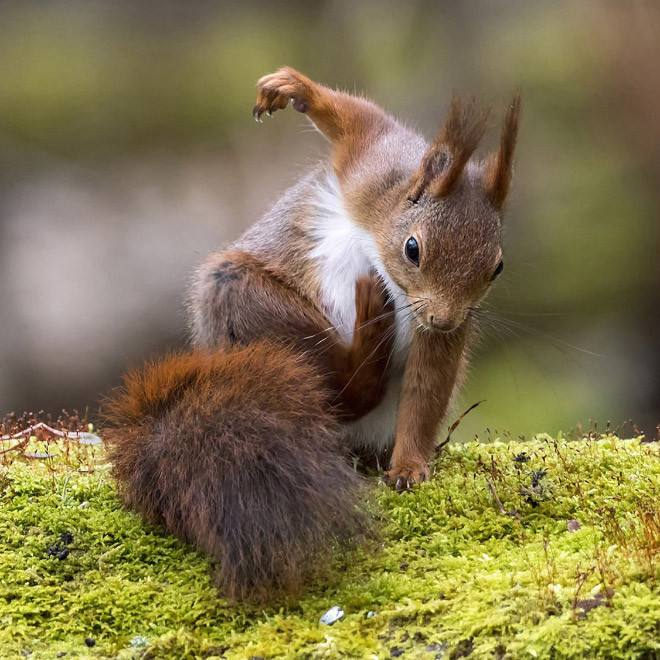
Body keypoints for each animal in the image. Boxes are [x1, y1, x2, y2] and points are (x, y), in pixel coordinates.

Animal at [105, 68, 524, 604]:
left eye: (497, 267)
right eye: (413, 249)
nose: (445, 319)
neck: (383, 235)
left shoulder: (438, 334)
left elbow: (426, 390)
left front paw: (409, 466)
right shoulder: (372, 165)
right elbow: (355, 118)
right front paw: (292, 89)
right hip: (242, 298)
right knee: (342, 389)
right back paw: (367, 335)